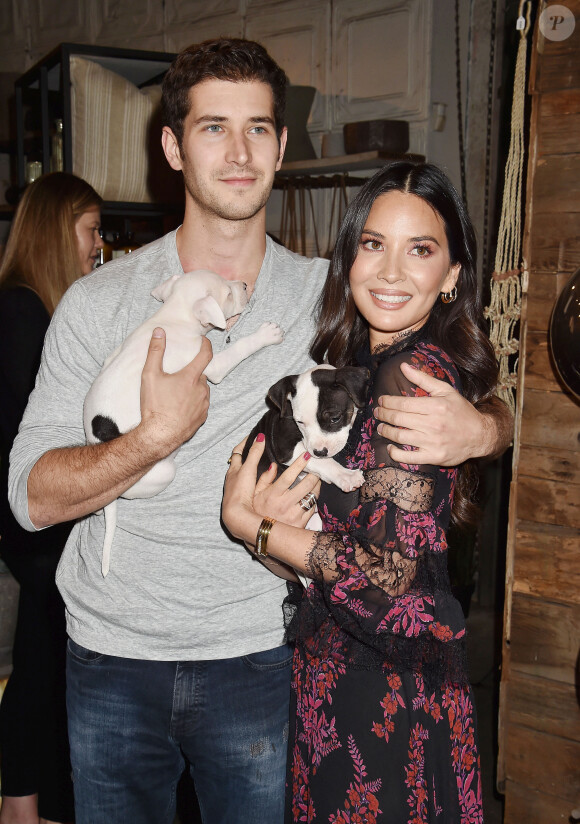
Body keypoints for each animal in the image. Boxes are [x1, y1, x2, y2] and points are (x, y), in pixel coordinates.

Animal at [85, 268, 284, 572]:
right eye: (228, 293)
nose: (244, 285)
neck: (175, 315)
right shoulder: (212, 365)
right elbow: (238, 348)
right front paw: (265, 335)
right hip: (163, 472)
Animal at [242, 362, 370, 490]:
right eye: (299, 422)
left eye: (335, 418)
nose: (320, 452)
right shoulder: (284, 447)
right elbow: (318, 460)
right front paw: (347, 476)